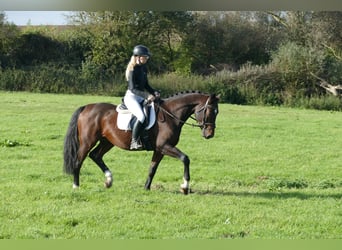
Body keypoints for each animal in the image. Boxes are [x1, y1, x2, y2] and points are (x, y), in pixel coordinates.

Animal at [62, 91, 220, 194]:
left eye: (217, 112)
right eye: (209, 111)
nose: (209, 134)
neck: (170, 115)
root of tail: (86, 107)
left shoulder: (159, 150)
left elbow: (152, 169)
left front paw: (146, 188)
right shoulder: (164, 146)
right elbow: (185, 158)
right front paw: (185, 187)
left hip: (107, 141)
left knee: (95, 155)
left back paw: (108, 180)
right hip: (87, 141)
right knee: (79, 160)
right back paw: (76, 186)